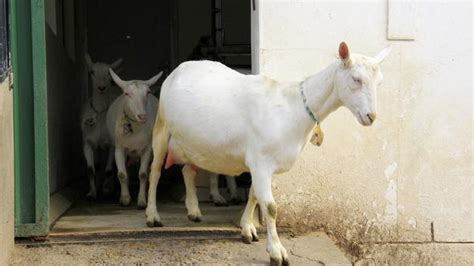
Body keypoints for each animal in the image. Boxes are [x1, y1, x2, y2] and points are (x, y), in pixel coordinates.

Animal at [82, 54, 123, 200]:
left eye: (109, 74)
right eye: (92, 72)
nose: (101, 88)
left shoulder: (112, 144)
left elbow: (109, 170)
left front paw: (106, 190)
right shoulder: (87, 142)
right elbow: (90, 169)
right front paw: (91, 193)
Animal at [106, 68, 163, 208]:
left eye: (148, 92)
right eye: (127, 93)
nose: (142, 116)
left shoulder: (147, 149)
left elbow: (143, 174)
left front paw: (142, 201)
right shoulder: (119, 148)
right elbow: (121, 174)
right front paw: (125, 199)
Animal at [147, 42, 388, 264]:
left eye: (379, 82)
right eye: (356, 79)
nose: (371, 116)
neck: (294, 108)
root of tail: (181, 68)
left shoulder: (261, 163)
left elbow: (255, 196)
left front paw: (247, 228)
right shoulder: (260, 160)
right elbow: (270, 207)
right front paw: (277, 252)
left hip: (195, 143)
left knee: (188, 171)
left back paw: (194, 211)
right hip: (161, 127)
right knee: (154, 172)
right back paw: (152, 216)